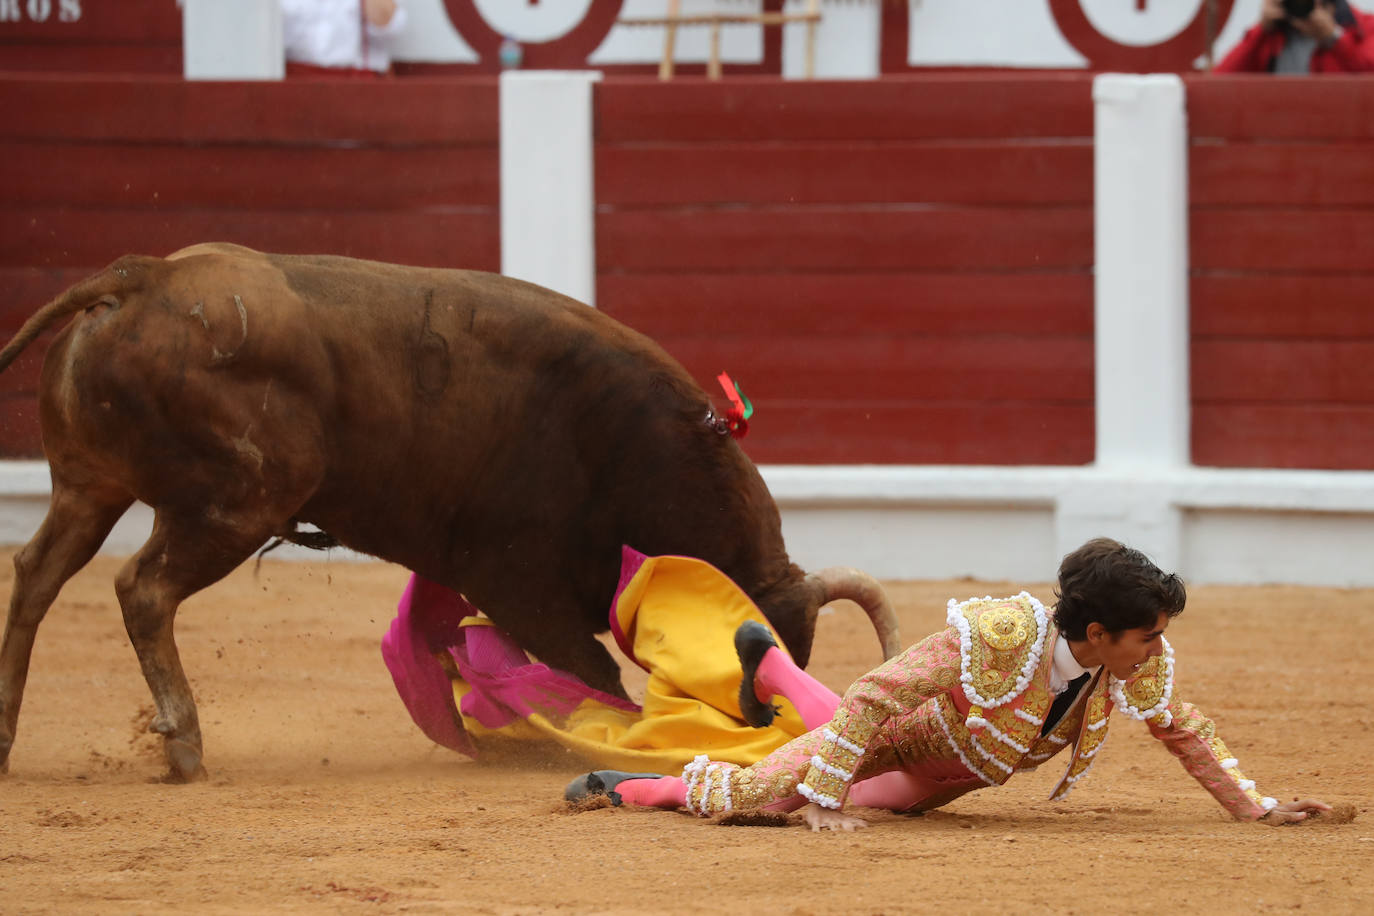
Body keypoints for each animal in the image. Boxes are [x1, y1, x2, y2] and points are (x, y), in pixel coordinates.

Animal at [0, 243, 901, 780]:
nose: (762, 720)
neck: (644, 449)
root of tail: (140, 276)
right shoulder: (521, 582)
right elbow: (589, 672)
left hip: (90, 487)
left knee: (37, 576)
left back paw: (7, 740)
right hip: (239, 503)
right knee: (142, 590)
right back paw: (184, 744)